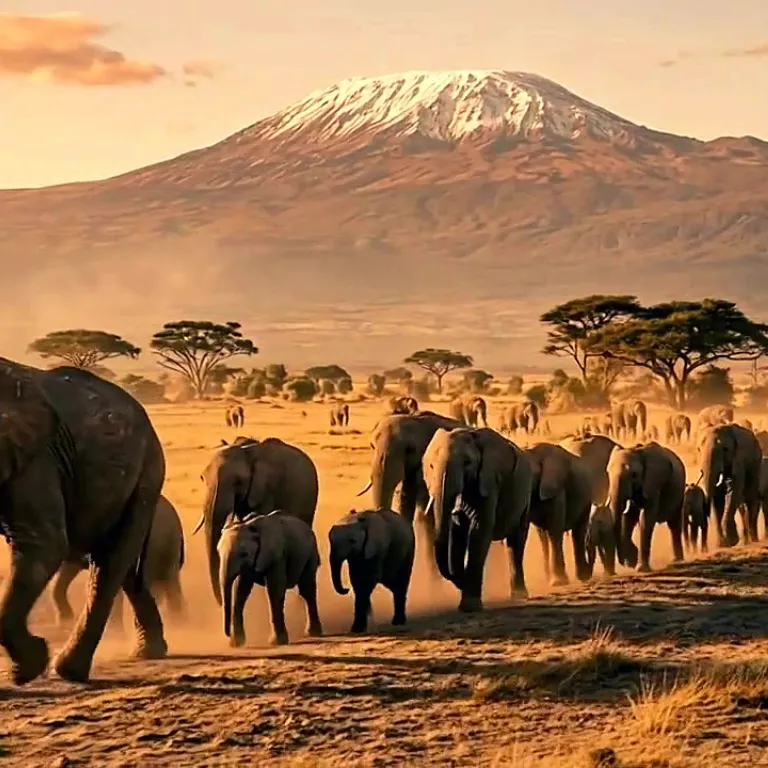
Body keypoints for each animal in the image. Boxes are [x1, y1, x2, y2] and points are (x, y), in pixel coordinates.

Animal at [0, 358, 167, 685]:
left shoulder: (35, 460)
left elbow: (43, 545)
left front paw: (29, 666)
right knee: (127, 569)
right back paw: (149, 652)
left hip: (146, 474)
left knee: (110, 562)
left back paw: (69, 671)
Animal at [217, 510, 322, 647]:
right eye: (218, 552)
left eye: (244, 554)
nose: (227, 634)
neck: (250, 525)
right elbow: (241, 591)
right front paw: (236, 644)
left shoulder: (277, 556)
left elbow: (274, 590)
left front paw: (277, 643)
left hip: (311, 553)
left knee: (307, 589)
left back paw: (313, 633)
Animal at [422, 427, 532, 612]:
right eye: (431, 466)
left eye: (467, 463)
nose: (461, 580)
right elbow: (458, 530)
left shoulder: (489, 480)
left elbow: (480, 528)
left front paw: (470, 606)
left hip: (526, 494)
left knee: (516, 541)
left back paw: (520, 596)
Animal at [523, 443, 592, 585]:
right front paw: (554, 581)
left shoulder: (556, 489)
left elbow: (555, 529)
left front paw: (558, 582)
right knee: (543, 536)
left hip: (586, 498)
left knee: (578, 532)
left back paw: (583, 577)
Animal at [606, 442, 685, 572]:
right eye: (608, 473)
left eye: (634, 475)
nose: (623, 562)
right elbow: (628, 518)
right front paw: (631, 561)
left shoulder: (653, 482)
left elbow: (646, 519)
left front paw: (640, 568)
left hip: (680, 491)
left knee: (674, 524)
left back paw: (678, 561)